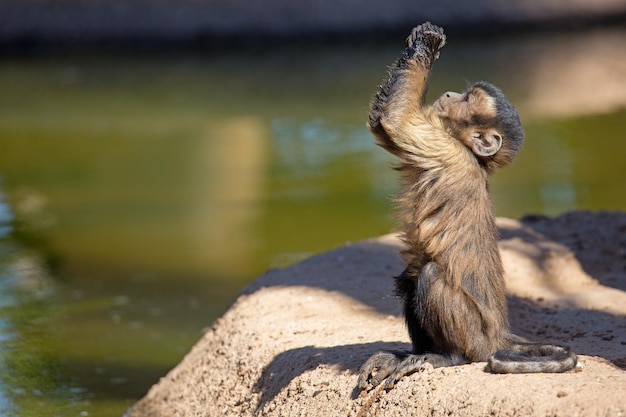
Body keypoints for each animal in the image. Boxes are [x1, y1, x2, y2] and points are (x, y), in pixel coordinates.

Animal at [356, 22, 576, 392]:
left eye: (468, 100)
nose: (447, 95)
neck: (471, 154)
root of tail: (497, 336)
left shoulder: (445, 147)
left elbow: (395, 121)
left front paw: (426, 44)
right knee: (410, 278)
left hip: (474, 336)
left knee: (429, 275)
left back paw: (448, 357)